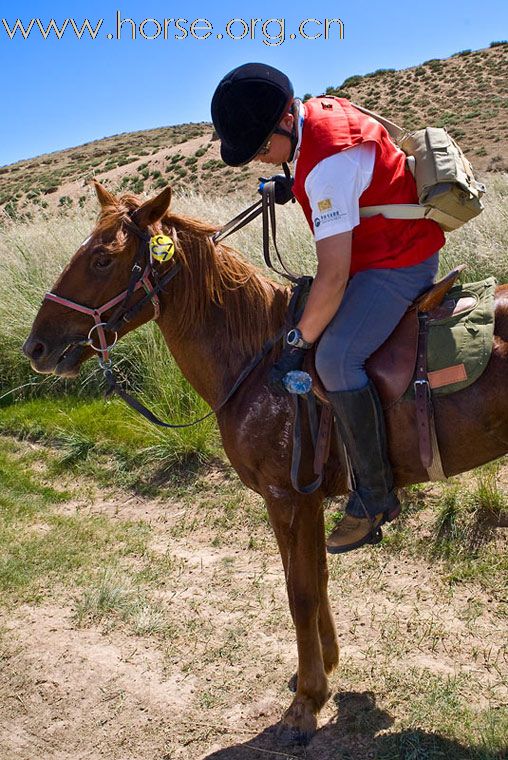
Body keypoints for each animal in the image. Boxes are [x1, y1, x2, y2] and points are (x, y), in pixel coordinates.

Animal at [24, 183, 508, 744]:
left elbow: (299, 591)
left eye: (103, 258)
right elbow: (315, 579)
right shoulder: (304, 500)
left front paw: (305, 704)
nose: (35, 346)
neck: (258, 360)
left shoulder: (286, 496)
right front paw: (320, 668)